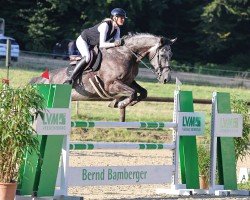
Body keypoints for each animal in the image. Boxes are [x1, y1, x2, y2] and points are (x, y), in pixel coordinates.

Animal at [30, 33, 176, 108]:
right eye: (162, 55)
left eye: (171, 55)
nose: (166, 79)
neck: (126, 54)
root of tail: (38, 79)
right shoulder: (111, 84)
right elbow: (133, 93)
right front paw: (120, 103)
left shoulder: (128, 82)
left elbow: (142, 92)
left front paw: (122, 102)